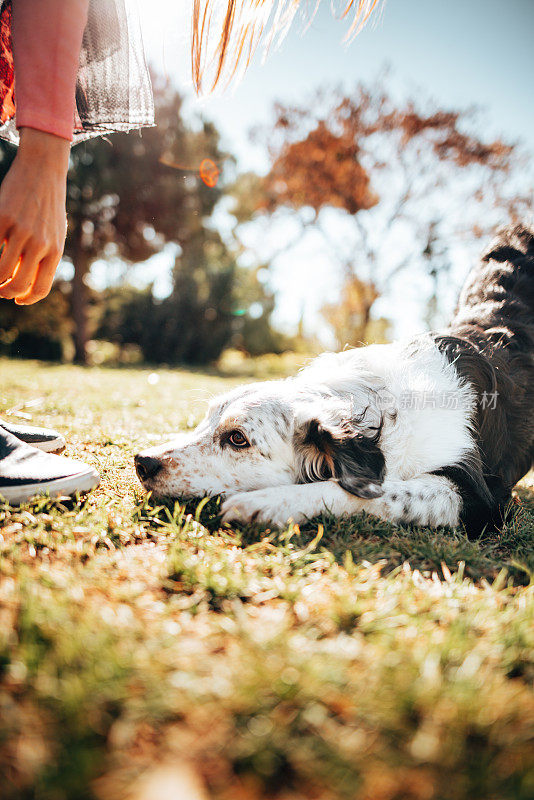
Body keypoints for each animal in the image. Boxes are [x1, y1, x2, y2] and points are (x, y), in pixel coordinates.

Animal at [137, 225, 534, 536]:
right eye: (205, 420)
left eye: (237, 439)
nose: (143, 461)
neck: (381, 407)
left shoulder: (482, 500)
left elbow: (377, 491)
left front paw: (270, 502)